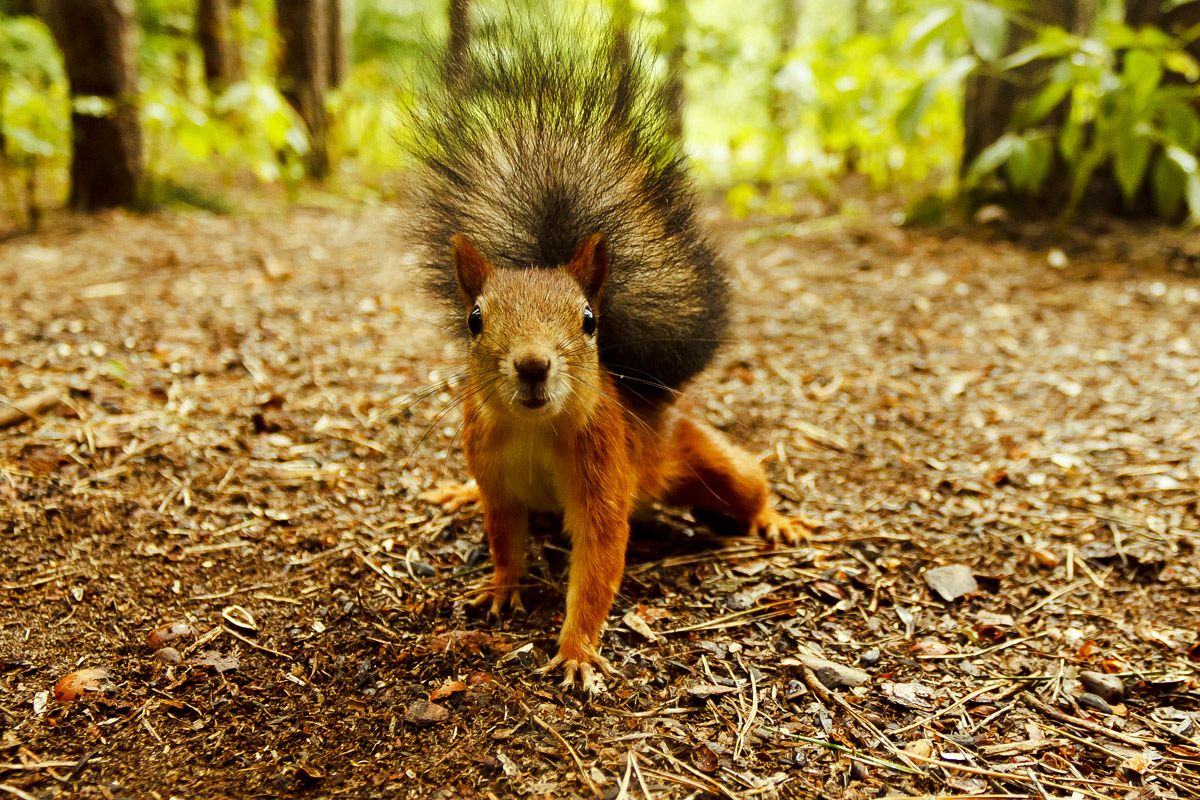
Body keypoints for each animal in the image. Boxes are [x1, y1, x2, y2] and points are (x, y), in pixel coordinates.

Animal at [403, 15, 806, 690]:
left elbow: (597, 565)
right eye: (474, 320)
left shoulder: (603, 473)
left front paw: (575, 650)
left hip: (692, 459)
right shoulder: (496, 477)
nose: (533, 365)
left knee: (745, 481)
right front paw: (501, 586)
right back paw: (458, 494)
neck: (534, 430)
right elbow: (503, 536)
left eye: (589, 322)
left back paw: (772, 518)